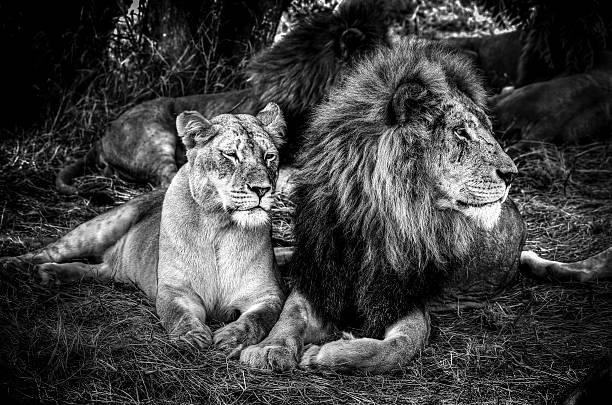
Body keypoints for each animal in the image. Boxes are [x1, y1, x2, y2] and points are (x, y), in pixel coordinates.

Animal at [240, 39, 612, 374]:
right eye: (461, 132)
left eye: (489, 130)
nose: (511, 174)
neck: (372, 216)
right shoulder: (321, 277)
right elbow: (290, 315)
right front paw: (268, 350)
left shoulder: (401, 297)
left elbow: (396, 348)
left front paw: (325, 354)